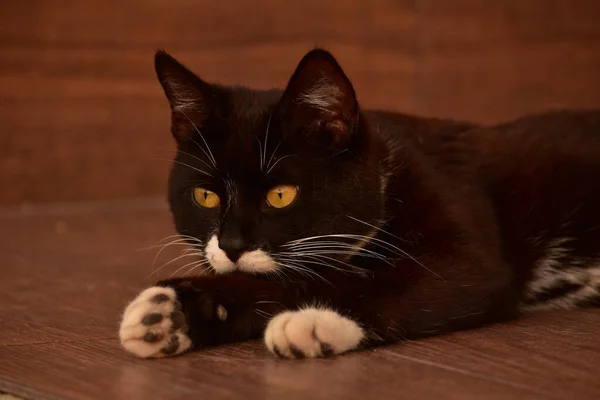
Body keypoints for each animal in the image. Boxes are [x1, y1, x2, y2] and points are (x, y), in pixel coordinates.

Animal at [118, 47, 600, 360]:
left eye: (281, 195)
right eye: (205, 195)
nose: (233, 245)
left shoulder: (464, 237)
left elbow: (389, 281)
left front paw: (318, 320)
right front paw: (173, 312)